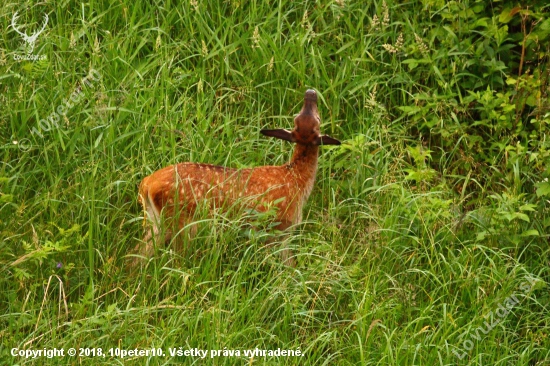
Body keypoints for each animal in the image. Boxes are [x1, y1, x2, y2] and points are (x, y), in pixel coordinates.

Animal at [134, 88, 340, 266]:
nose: (310, 93)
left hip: (154, 221)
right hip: (182, 223)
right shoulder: (280, 228)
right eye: (318, 119)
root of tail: (147, 183)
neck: (296, 178)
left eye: (301, 117)